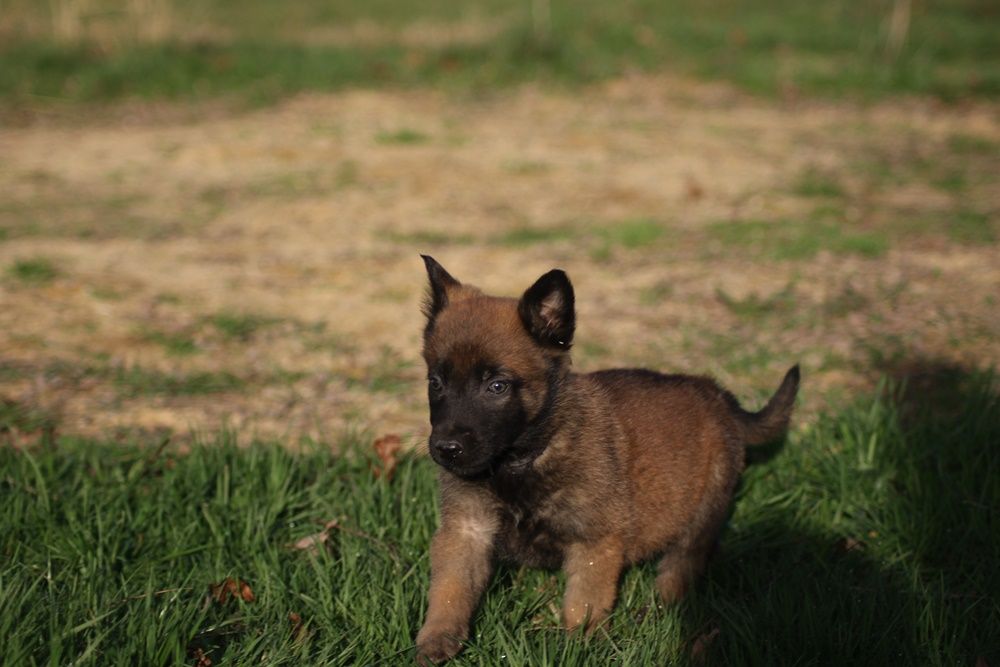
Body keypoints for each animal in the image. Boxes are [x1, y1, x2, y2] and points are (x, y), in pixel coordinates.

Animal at [414, 256, 799, 663]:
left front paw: (579, 647)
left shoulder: (595, 541)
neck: (522, 459)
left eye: (497, 386)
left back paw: (660, 611)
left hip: (704, 511)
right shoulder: (465, 531)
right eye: (435, 383)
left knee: (679, 568)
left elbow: (582, 602)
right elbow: (450, 590)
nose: (445, 448)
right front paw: (436, 639)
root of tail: (718, 395)